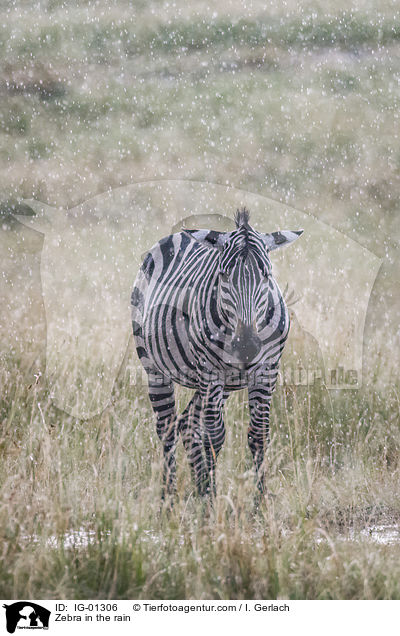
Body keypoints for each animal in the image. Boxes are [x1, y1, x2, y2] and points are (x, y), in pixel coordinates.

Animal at [132, 209, 304, 496]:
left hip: (223, 383)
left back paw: (198, 489)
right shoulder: (210, 371)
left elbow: (259, 435)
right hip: (157, 367)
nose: (247, 347)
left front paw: (259, 503)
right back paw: (168, 499)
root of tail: (177, 235)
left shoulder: (267, 370)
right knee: (167, 428)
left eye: (266, 276)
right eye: (223, 275)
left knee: (188, 423)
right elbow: (214, 436)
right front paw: (212, 503)